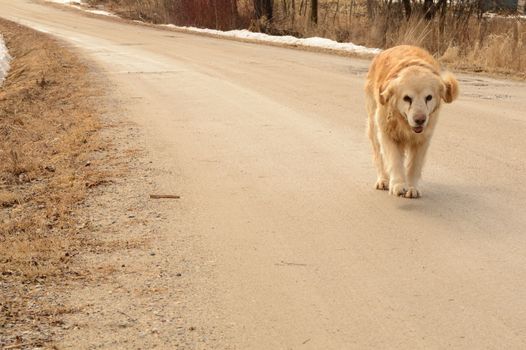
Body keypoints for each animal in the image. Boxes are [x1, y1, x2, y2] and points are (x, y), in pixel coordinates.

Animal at [368, 44, 458, 197]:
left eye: (429, 97)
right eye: (407, 98)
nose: (420, 120)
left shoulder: (423, 139)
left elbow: (414, 166)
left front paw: (412, 188)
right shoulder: (387, 133)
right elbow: (394, 160)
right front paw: (398, 185)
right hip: (373, 126)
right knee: (378, 156)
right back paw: (383, 180)